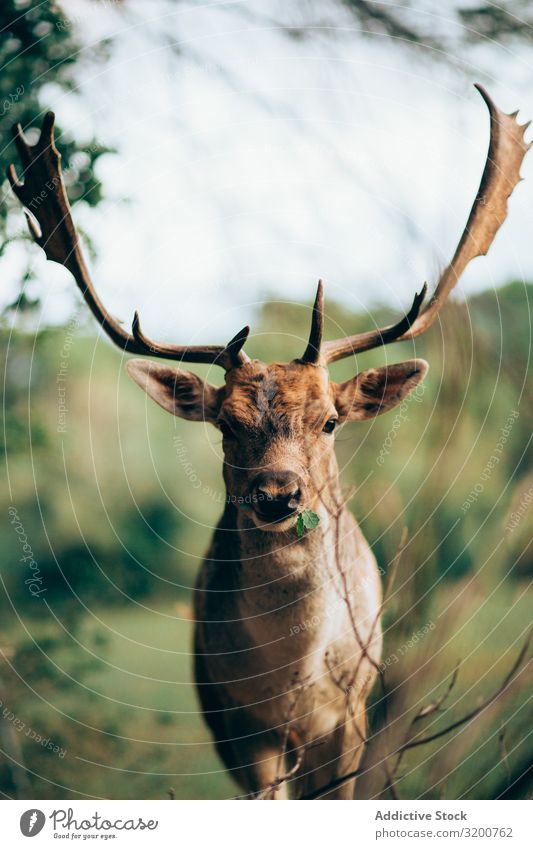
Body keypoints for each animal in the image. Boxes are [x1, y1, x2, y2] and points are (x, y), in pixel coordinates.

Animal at [8, 84, 528, 796]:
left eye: (330, 420)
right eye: (227, 423)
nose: (278, 494)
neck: (295, 684)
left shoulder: (352, 715)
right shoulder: (244, 731)